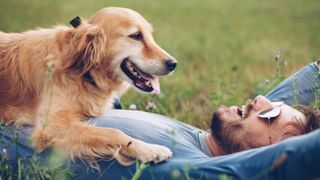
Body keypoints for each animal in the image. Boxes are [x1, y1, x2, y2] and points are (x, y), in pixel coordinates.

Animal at [0, 7, 178, 166]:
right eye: (136, 36)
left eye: (150, 35)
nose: (173, 64)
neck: (84, 73)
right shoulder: (51, 125)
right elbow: (113, 132)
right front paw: (150, 149)